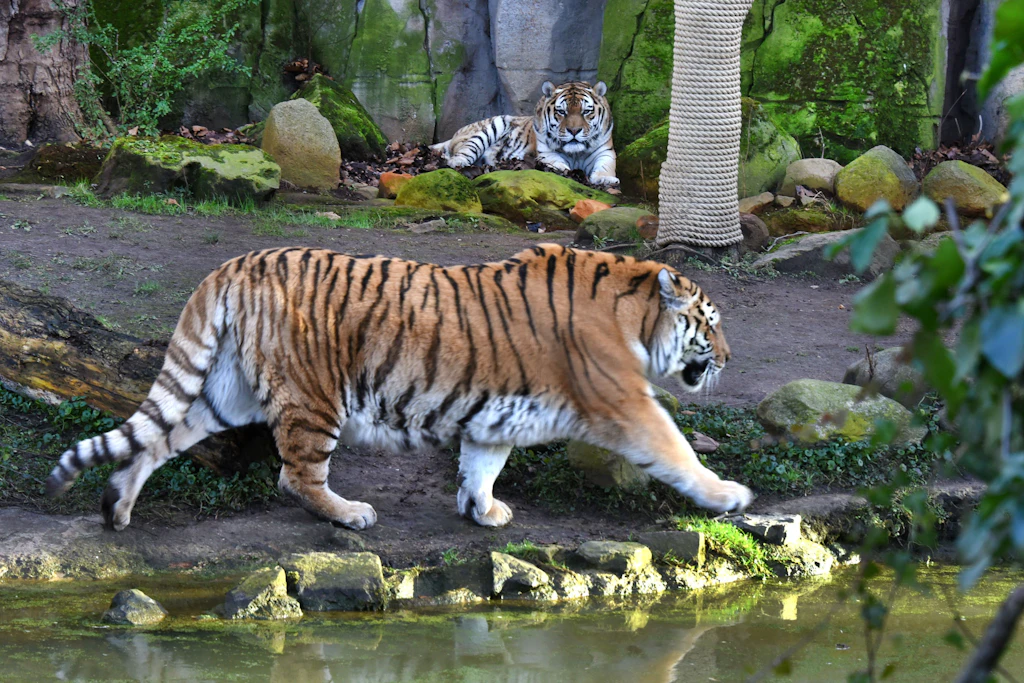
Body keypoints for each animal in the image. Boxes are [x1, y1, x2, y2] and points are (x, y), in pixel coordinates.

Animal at [46, 245, 752, 532]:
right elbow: (674, 449)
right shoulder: (626, 402)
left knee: (157, 440)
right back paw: (350, 515)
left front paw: (482, 511)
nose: (728, 357)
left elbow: (482, 466)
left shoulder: (497, 412)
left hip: (226, 392)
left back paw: (117, 507)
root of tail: (235, 264)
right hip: (314, 395)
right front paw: (727, 495)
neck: (636, 315)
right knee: (294, 477)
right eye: (712, 324)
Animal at [430, 81, 619, 187]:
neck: (576, 152)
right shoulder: (547, 154)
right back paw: (457, 163)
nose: (574, 131)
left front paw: (606, 179)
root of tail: (456, 135)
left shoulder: (605, 151)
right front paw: (570, 173)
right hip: (492, 125)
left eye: (586, 112)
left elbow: (605, 166)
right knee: (463, 151)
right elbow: (560, 165)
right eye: (562, 112)